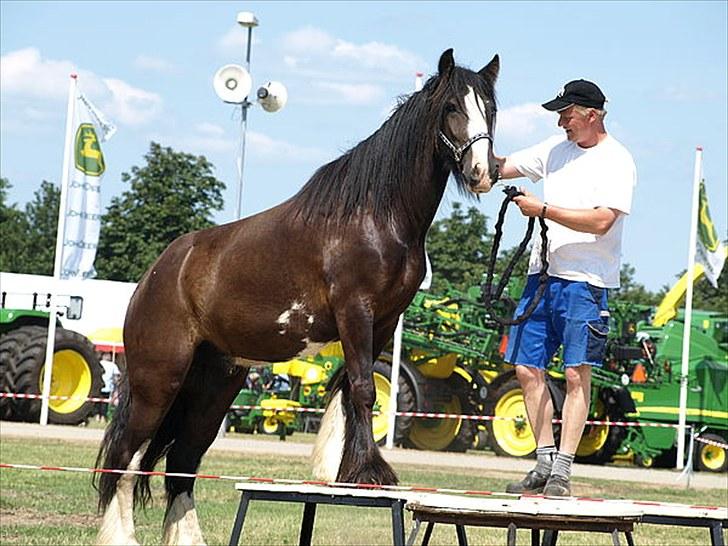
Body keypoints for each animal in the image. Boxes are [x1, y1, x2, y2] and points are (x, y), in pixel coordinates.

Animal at [94, 49, 498, 540]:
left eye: (489, 108)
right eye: (452, 107)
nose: (483, 172)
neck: (376, 216)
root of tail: (156, 275)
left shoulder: (383, 321)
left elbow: (346, 388)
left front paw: (343, 470)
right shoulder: (355, 312)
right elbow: (363, 390)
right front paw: (371, 471)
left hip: (214, 386)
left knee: (182, 463)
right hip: (158, 381)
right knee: (124, 460)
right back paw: (121, 535)